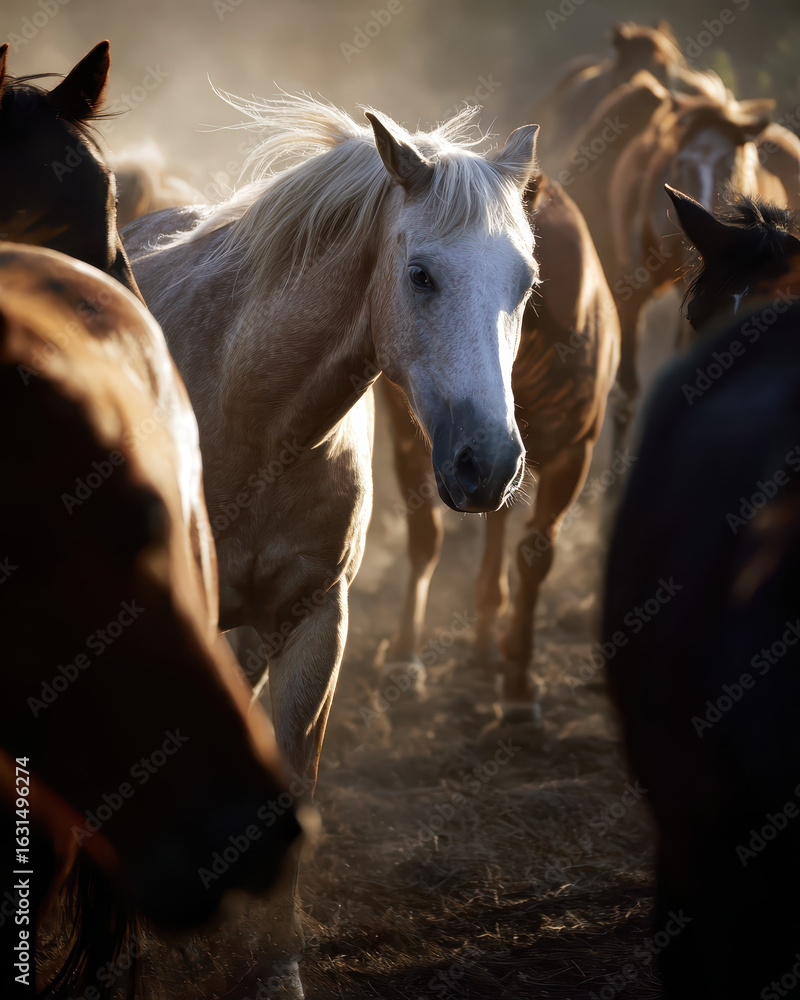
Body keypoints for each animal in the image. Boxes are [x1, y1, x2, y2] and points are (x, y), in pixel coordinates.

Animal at [122, 92, 539, 993]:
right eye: (421, 275)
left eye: (526, 282)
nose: (488, 463)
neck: (248, 414)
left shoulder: (316, 619)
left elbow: (293, 781)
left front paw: (274, 963)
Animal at [380, 174, 619, 725]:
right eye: (422, 277)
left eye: (528, 282)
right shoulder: (417, 443)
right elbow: (425, 540)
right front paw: (403, 658)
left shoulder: (571, 455)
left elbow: (535, 557)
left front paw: (519, 688)